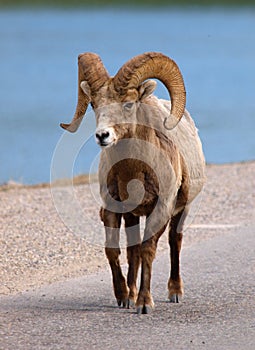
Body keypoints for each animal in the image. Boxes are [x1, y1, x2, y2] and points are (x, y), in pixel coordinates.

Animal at [60, 51, 206, 314]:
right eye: (94, 104)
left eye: (128, 104)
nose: (102, 136)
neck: (133, 173)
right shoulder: (112, 207)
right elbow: (115, 249)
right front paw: (124, 297)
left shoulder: (161, 209)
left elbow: (148, 250)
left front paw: (144, 304)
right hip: (132, 215)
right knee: (132, 250)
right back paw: (131, 292)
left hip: (182, 210)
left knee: (174, 242)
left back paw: (175, 292)